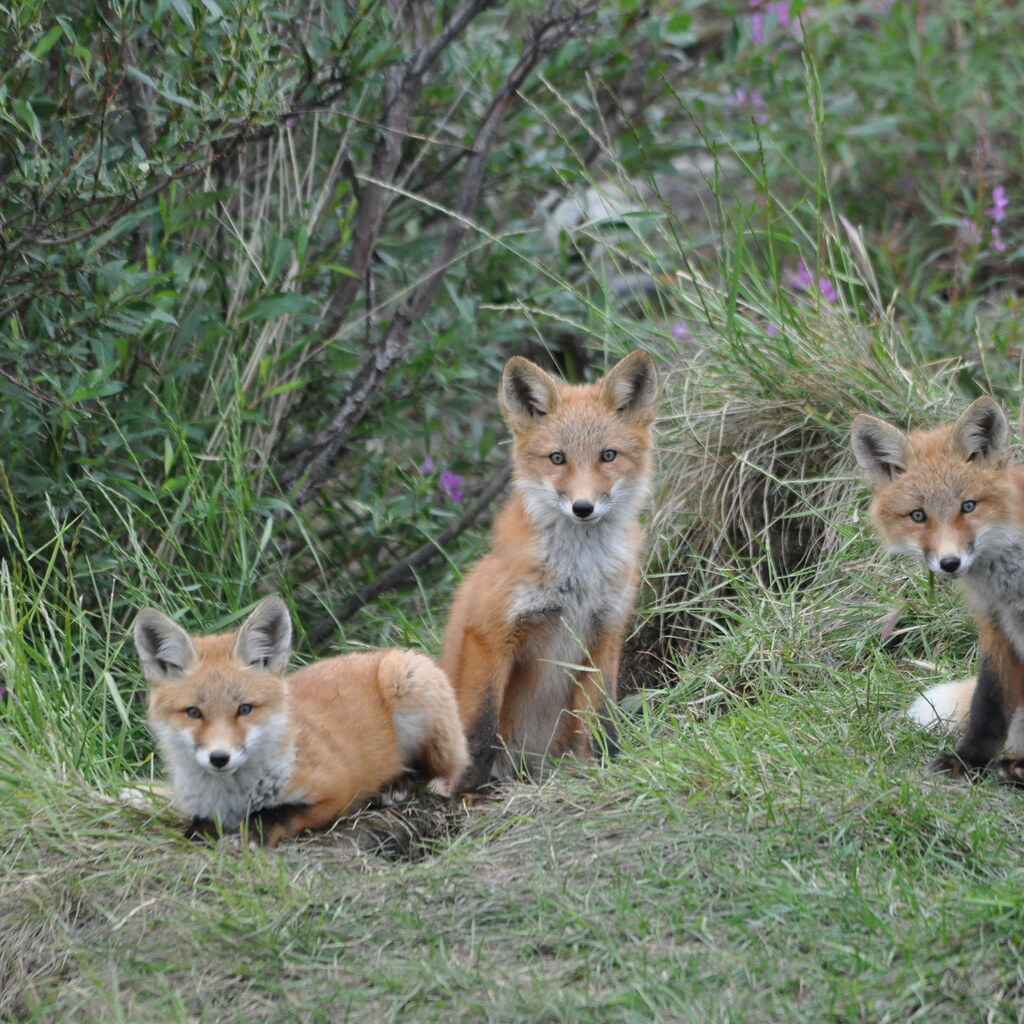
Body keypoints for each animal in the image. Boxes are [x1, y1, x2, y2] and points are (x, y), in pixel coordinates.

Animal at [134, 596, 468, 846]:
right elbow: (196, 828)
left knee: (440, 773)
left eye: (245, 709)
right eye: (194, 712)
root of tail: (374, 652)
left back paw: (394, 785)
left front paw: (253, 833)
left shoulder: (337, 790)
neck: (233, 798)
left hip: (408, 684)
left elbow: (281, 813)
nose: (219, 757)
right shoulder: (203, 810)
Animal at [440, 349, 660, 790]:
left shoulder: (605, 633)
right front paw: (468, 791)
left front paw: (609, 764)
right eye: (557, 458)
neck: (579, 575)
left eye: (608, 455)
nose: (583, 507)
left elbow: (600, 718)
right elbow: (480, 727)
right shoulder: (489, 633)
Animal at [851, 395, 1024, 780]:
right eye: (918, 515)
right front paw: (968, 761)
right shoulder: (995, 624)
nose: (949, 563)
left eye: (968, 506)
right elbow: (988, 704)